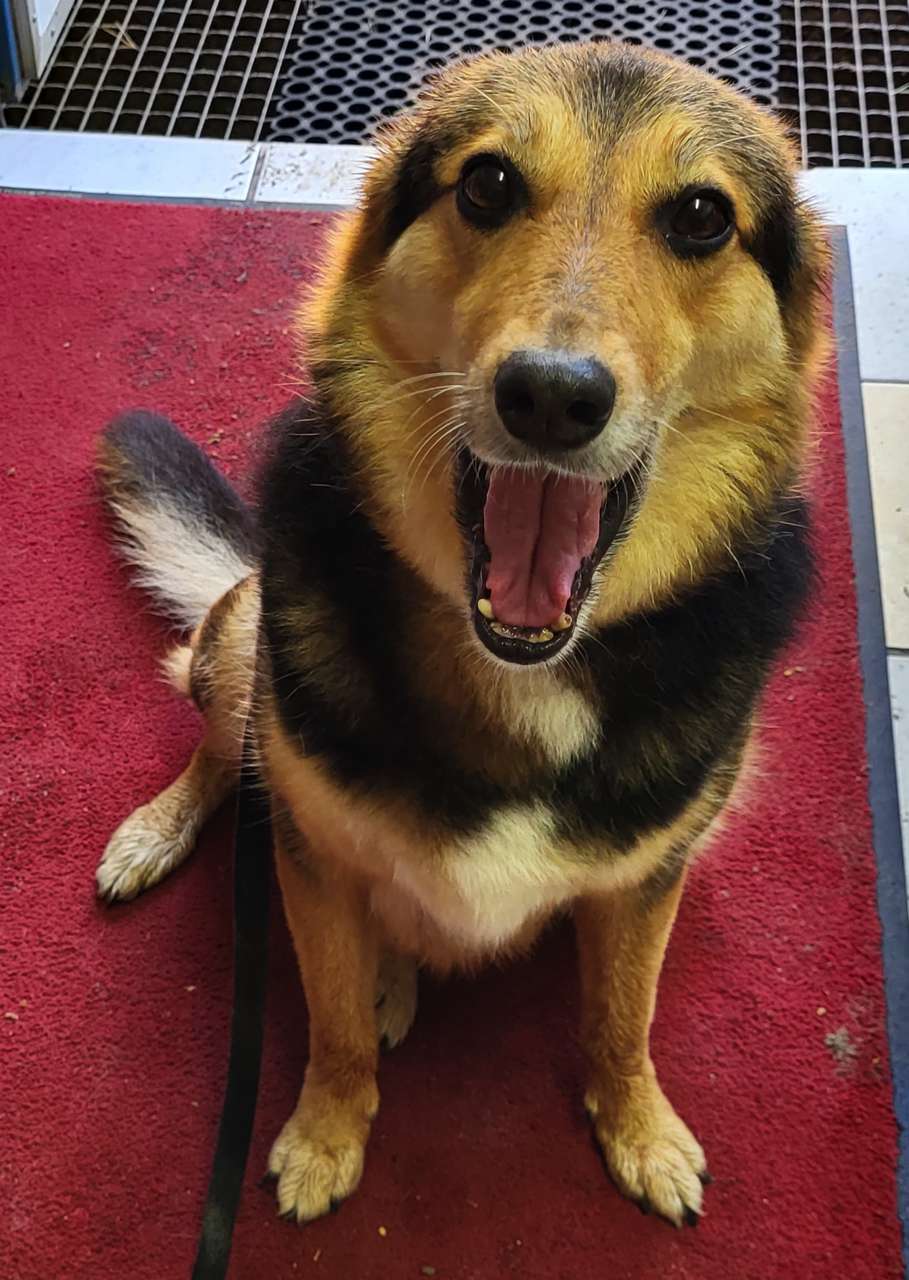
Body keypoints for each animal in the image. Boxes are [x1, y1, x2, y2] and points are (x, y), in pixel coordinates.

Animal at [95, 42, 828, 1228]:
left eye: (701, 216)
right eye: (486, 185)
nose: (551, 398)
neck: (522, 669)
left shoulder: (640, 890)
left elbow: (622, 1018)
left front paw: (640, 1128)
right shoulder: (311, 858)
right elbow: (334, 1023)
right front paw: (325, 1132)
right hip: (248, 631)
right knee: (225, 746)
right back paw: (169, 836)